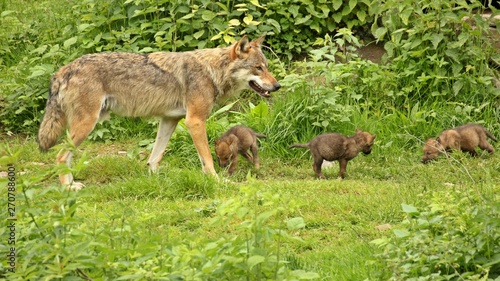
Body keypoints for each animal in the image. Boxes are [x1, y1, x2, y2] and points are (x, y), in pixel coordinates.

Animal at [38, 34, 282, 188]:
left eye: (266, 67)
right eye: (258, 68)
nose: (278, 86)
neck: (212, 71)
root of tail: (63, 70)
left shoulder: (169, 120)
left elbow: (155, 157)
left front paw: (155, 180)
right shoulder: (195, 121)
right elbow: (207, 160)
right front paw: (217, 180)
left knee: (66, 157)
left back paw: (72, 183)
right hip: (86, 125)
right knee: (60, 156)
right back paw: (68, 188)